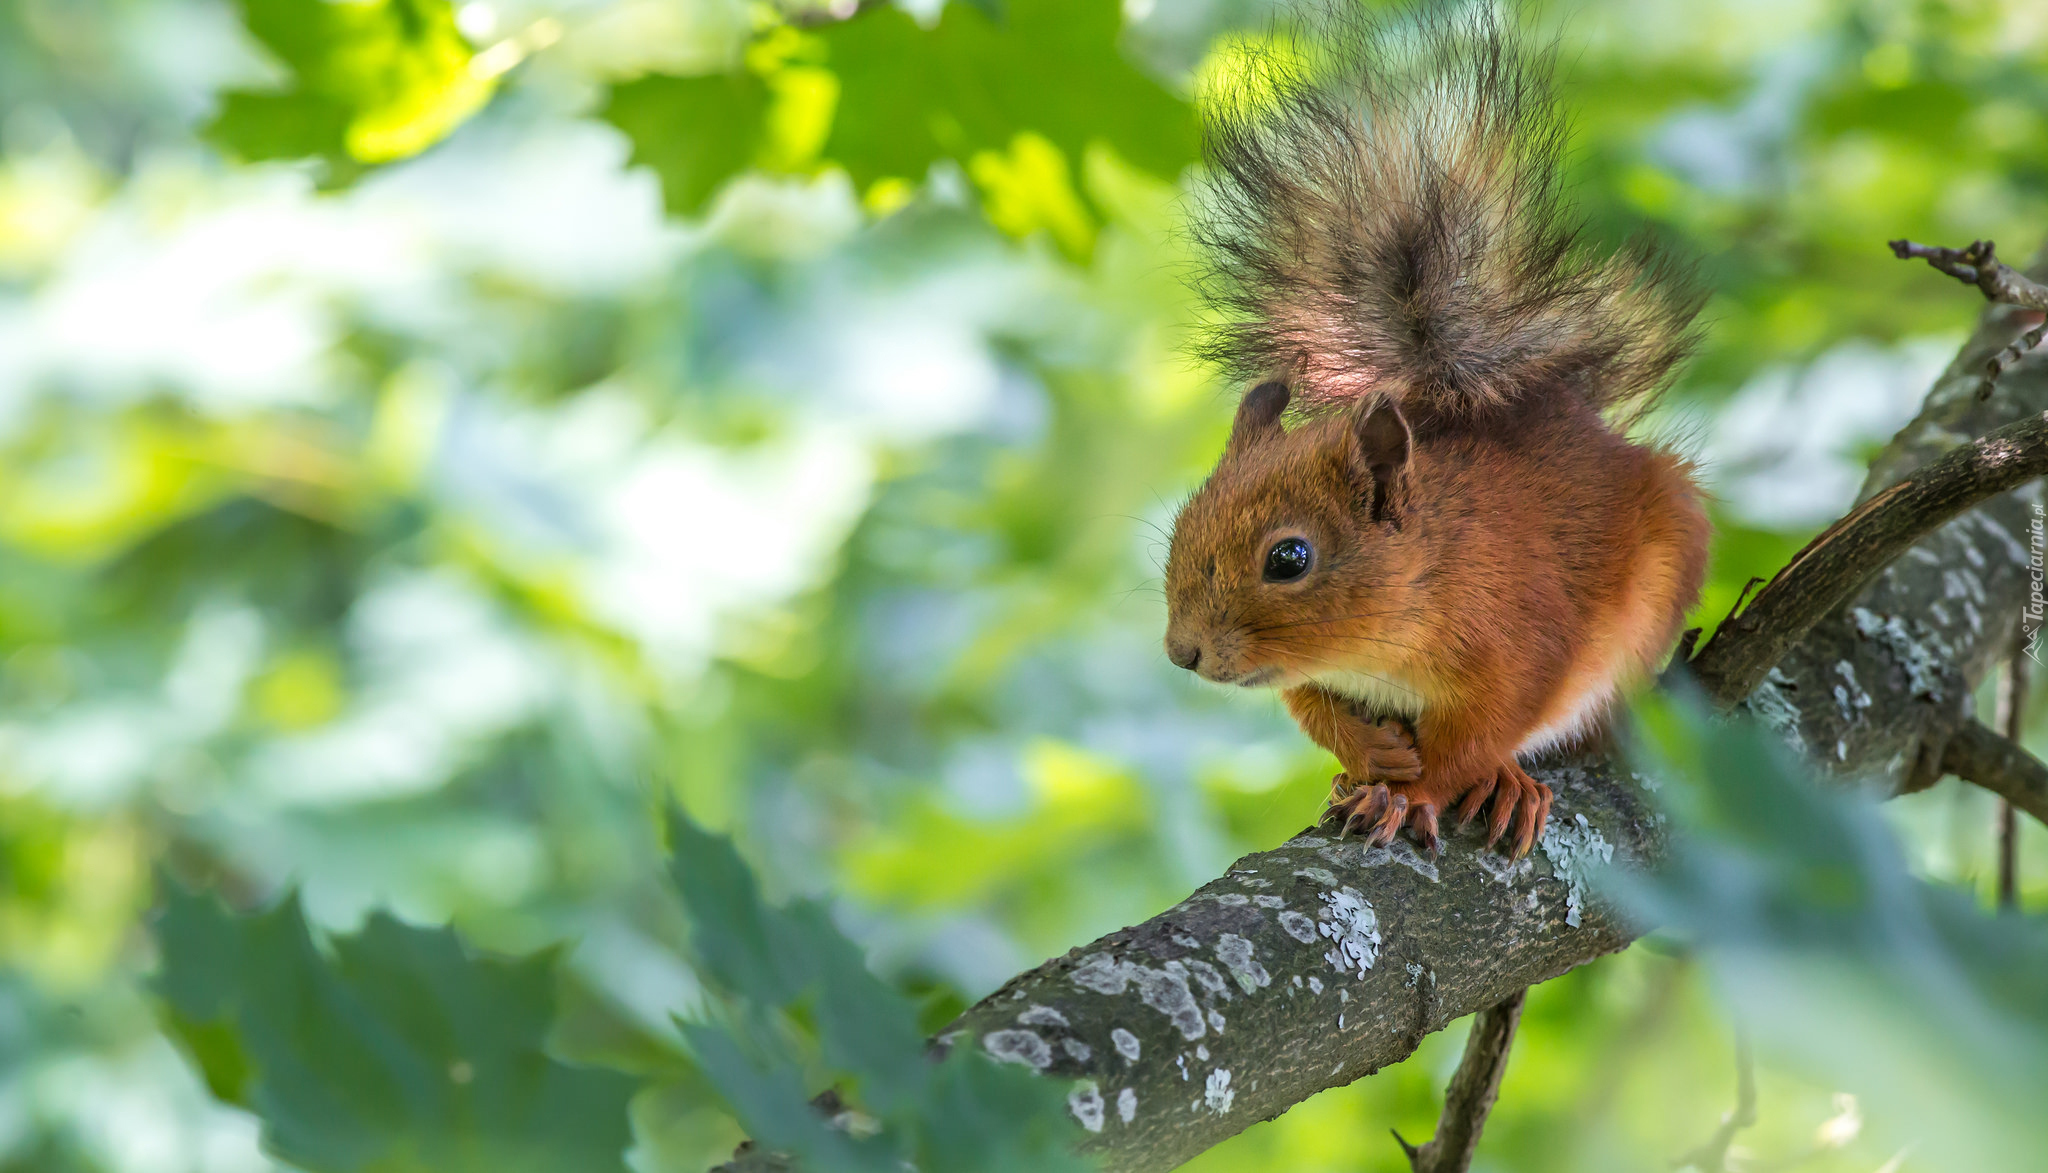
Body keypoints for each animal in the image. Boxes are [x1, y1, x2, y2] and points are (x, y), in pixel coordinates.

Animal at [1171, 4, 1712, 855]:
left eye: (1289, 558)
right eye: (1179, 527)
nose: (1182, 651)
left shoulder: (1522, 638)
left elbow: (1480, 733)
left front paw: (1415, 790)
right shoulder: (1317, 677)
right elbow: (1313, 710)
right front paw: (1367, 757)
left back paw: (1513, 784)